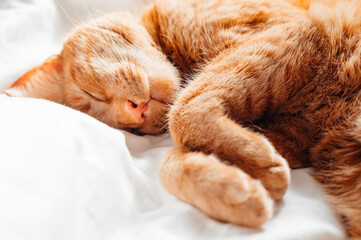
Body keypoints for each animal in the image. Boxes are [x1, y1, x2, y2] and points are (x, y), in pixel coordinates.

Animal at [4, 0, 360, 237]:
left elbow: (183, 113)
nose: (134, 112)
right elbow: (169, 162)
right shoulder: (292, 136)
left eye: (91, 95)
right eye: (127, 129)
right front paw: (236, 189)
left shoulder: (291, 29)